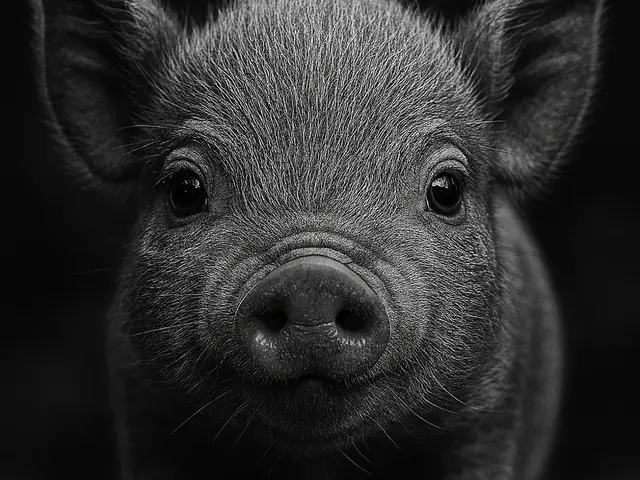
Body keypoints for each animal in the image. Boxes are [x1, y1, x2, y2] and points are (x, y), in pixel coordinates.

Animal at [31, 0, 604, 478]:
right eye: (185, 189)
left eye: (446, 190)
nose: (313, 278)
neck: (317, 465)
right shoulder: (146, 408)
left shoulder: (491, 414)